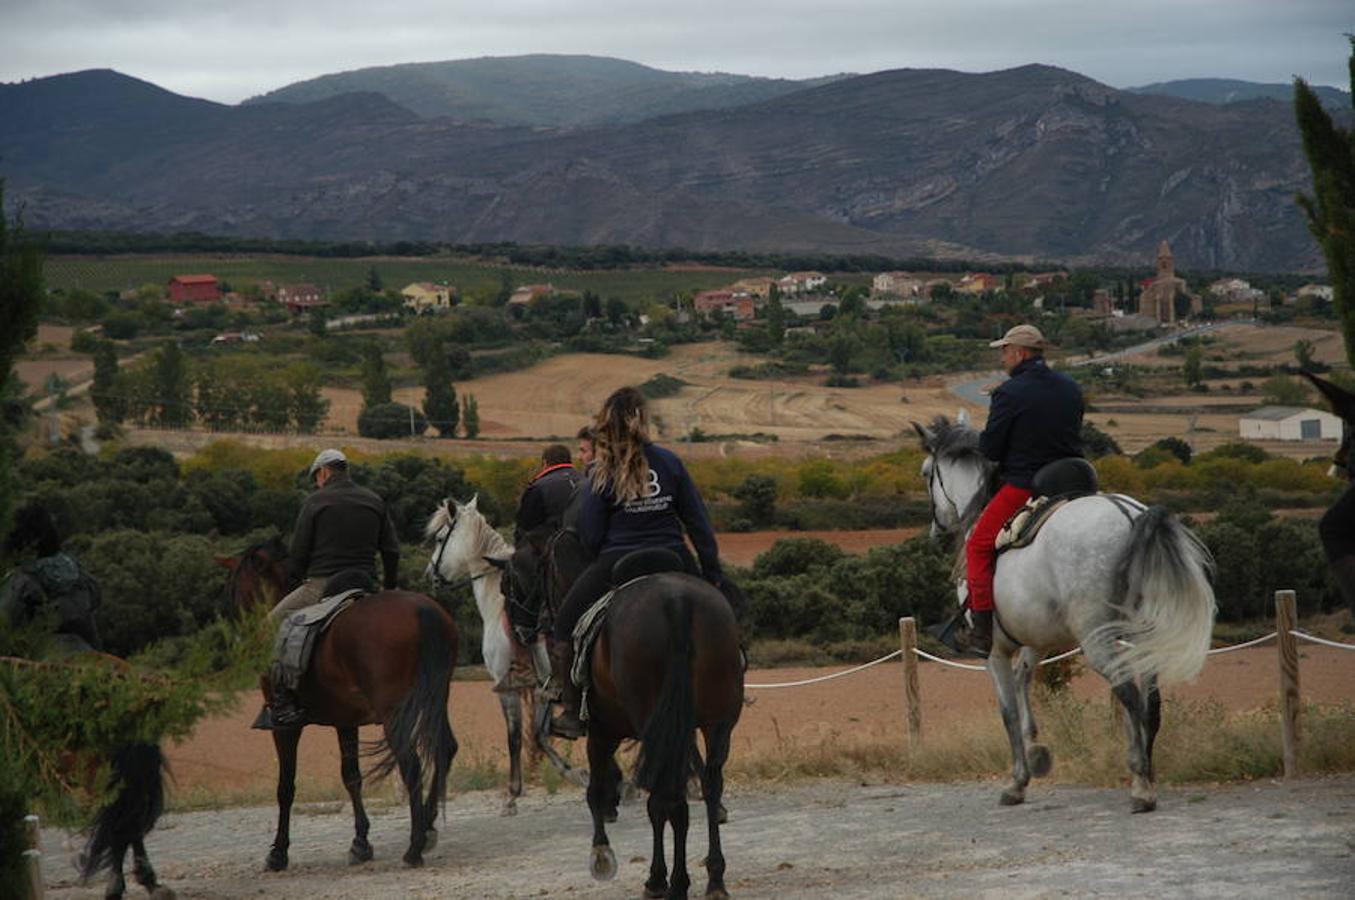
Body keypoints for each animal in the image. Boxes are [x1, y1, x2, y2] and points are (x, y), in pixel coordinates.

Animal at [219, 542, 457, 872]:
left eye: (232, 589)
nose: (236, 634)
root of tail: (422, 611)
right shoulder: (346, 721)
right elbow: (351, 777)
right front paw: (360, 843)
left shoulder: (285, 728)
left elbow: (286, 787)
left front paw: (278, 853)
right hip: (436, 700)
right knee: (444, 749)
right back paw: (429, 828)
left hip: (395, 715)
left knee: (412, 764)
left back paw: (414, 846)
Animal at [425, 496, 585, 813]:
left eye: (439, 538)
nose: (430, 574)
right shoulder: (542, 687)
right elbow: (540, 735)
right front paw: (577, 774)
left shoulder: (507, 686)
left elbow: (515, 737)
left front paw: (513, 794)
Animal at [579, 571, 742, 894]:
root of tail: (677, 601)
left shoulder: (601, 729)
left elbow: (596, 788)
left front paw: (601, 853)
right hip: (716, 724)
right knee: (709, 785)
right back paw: (714, 878)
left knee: (664, 799)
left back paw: (665, 880)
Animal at [915, 417, 1214, 813]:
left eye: (926, 472)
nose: (936, 531)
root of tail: (1129, 515)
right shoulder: (1036, 638)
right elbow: (1024, 678)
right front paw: (1037, 751)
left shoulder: (995, 650)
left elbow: (1007, 710)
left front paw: (1017, 781)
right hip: (1143, 635)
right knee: (1150, 701)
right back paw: (1147, 772)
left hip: (1097, 638)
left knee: (1129, 694)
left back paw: (1140, 784)